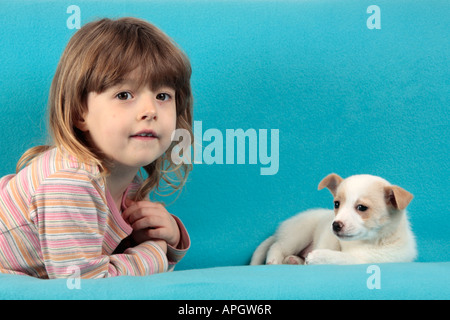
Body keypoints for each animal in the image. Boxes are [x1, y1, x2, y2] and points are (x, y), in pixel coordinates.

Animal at [251, 172, 416, 264]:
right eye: (337, 204)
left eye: (362, 208)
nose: (335, 225)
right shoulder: (328, 236)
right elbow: (331, 246)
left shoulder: (369, 260)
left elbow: (343, 257)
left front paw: (318, 256)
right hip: (298, 235)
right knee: (277, 246)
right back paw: (274, 260)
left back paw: (295, 261)